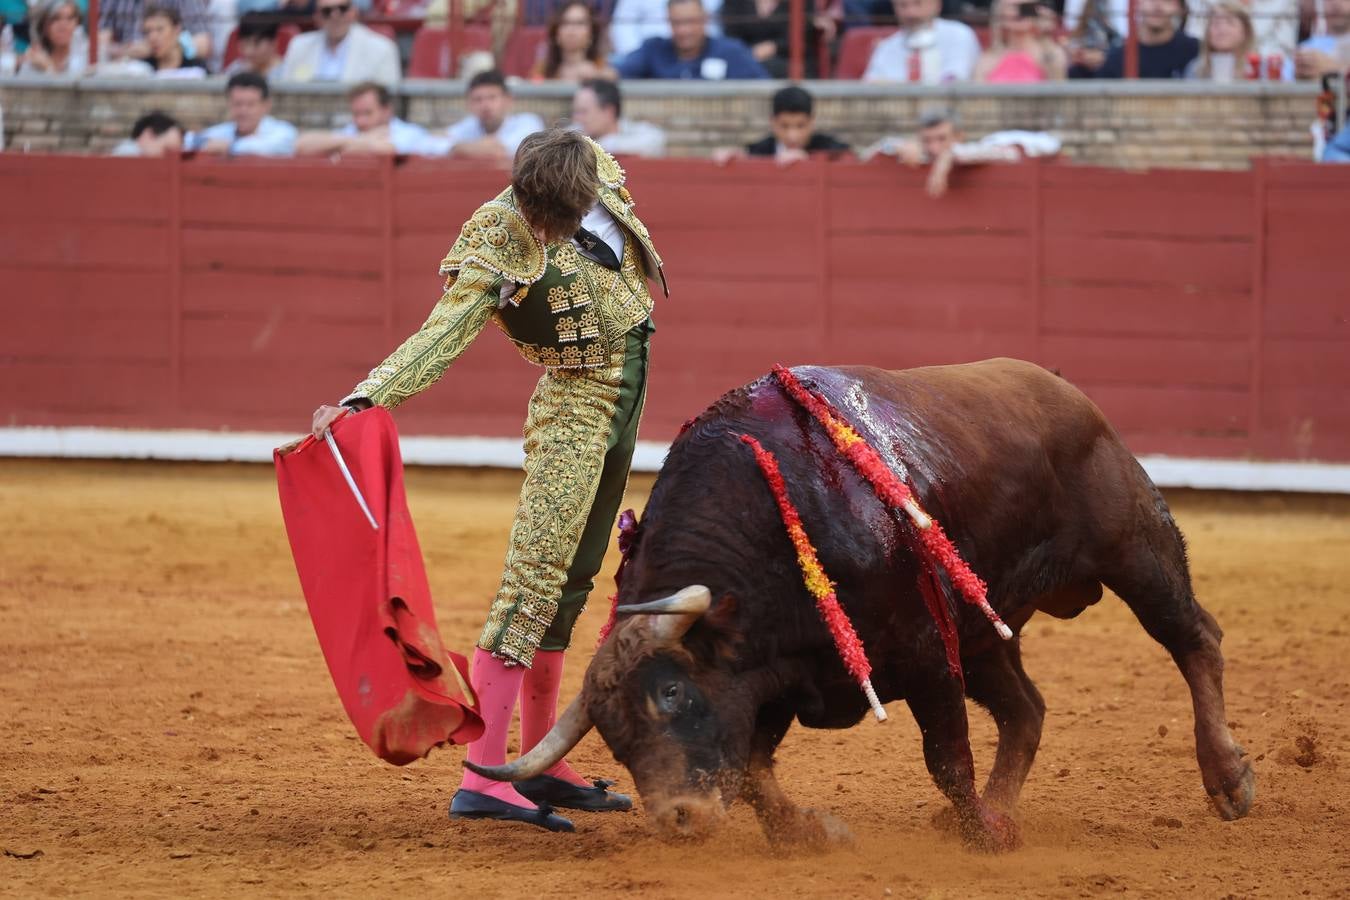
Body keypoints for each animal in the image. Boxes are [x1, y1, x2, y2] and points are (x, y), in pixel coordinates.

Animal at [469, 356, 1258, 852]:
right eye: (612, 736)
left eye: (671, 693)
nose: (678, 820)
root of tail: (1066, 391)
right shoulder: (771, 676)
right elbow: (752, 773)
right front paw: (811, 835)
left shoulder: (924, 653)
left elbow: (945, 757)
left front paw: (980, 836)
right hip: (985, 631)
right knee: (1026, 710)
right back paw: (1005, 809)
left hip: (1137, 548)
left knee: (1195, 638)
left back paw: (1227, 780)